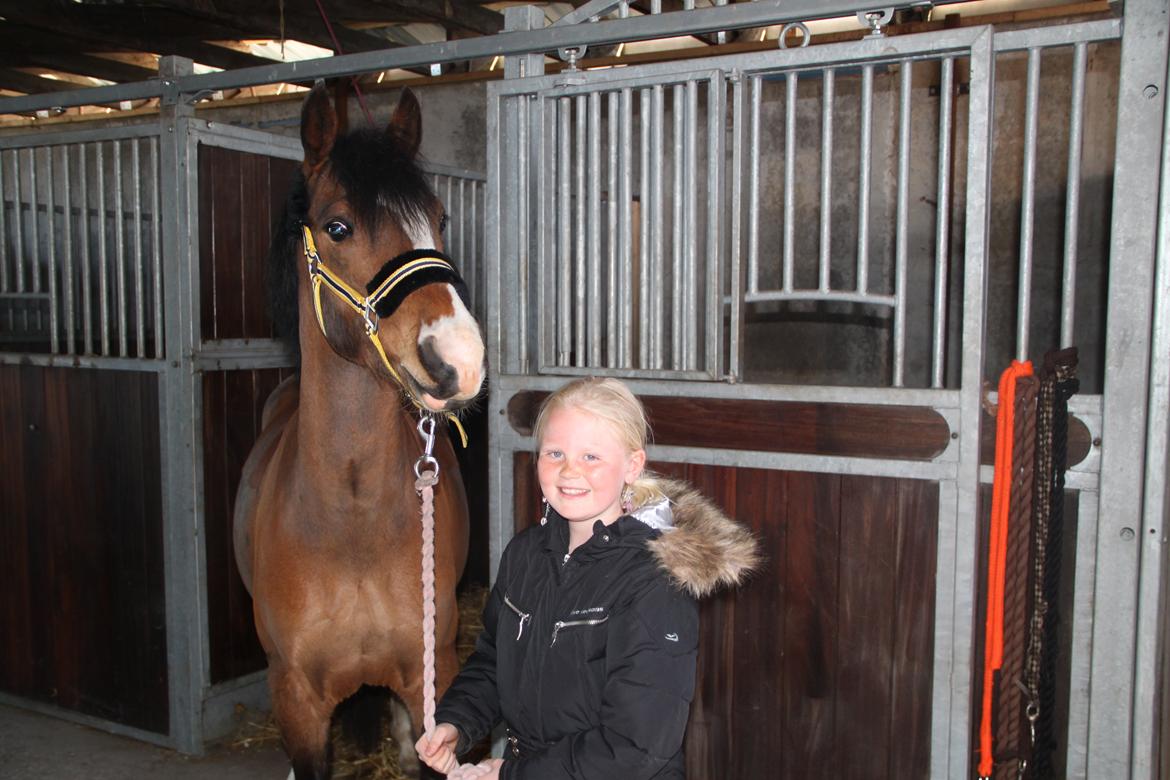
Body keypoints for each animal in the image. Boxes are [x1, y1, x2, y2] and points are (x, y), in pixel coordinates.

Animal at [232, 84, 485, 780]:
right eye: (338, 226)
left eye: (440, 220)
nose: (458, 359)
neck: (351, 522)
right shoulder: (295, 700)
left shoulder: (433, 676)